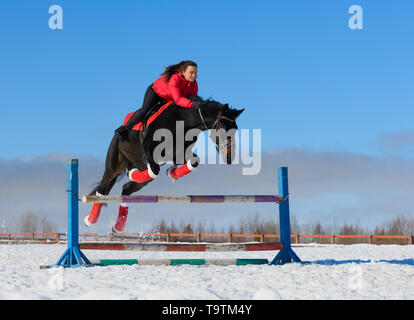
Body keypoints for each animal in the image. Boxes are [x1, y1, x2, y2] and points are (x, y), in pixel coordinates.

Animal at [85, 96, 244, 231]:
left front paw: (172, 173)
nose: (229, 157)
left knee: (126, 189)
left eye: (235, 129)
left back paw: (118, 226)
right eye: (224, 128)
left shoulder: (179, 154)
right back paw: (91, 220)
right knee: (103, 189)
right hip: (114, 165)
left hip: (139, 173)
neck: (183, 121)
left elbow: (194, 162)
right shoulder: (151, 152)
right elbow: (155, 170)